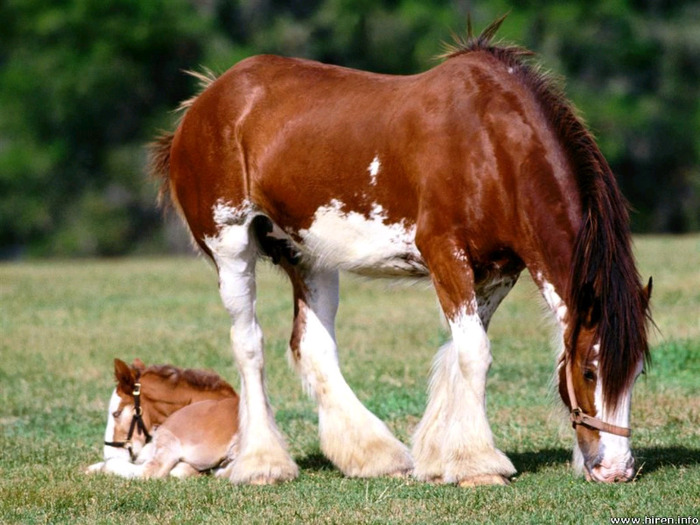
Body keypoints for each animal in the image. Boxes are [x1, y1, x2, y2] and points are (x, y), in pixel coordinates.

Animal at [148, 18, 652, 486]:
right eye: (589, 371)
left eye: (636, 373)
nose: (616, 469)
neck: (491, 145)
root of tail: (203, 103)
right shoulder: (445, 253)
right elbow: (474, 353)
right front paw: (478, 465)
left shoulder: (498, 272)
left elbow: (457, 352)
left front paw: (439, 456)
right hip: (231, 245)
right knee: (248, 343)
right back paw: (262, 463)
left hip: (309, 256)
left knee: (312, 346)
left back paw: (375, 455)